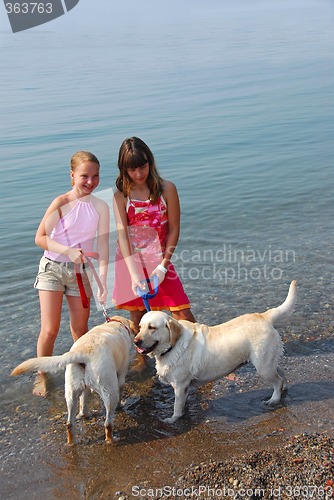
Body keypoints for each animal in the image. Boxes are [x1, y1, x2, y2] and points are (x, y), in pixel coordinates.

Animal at [11, 316, 136, 446]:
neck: (115, 324)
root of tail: (82, 352)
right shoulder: (121, 374)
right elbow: (121, 388)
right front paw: (121, 404)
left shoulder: (85, 388)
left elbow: (84, 400)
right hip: (109, 391)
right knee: (107, 423)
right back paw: (111, 439)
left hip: (71, 392)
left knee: (70, 422)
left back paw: (73, 437)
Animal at [134, 282, 296, 422]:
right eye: (140, 327)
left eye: (152, 327)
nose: (136, 341)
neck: (172, 346)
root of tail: (263, 316)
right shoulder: (183, 388)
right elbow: (182, 403)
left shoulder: (180, 385)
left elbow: (177, 407)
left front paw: (173, 419)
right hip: (268, 362)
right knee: (281, 373)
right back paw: (284, 389)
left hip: (263, 367)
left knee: (277, 380)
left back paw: (274, 399)